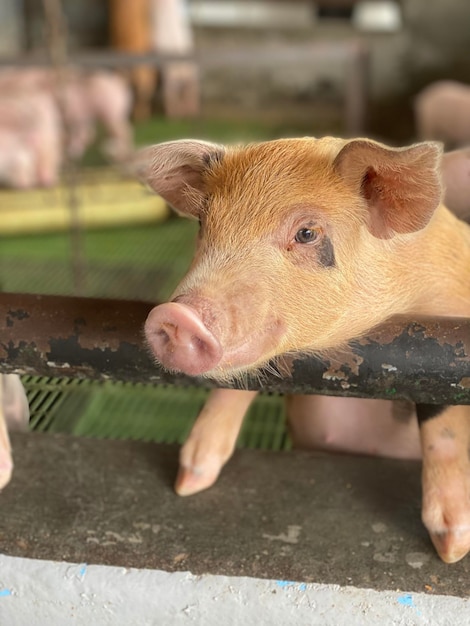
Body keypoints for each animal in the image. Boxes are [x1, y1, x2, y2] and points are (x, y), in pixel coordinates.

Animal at [135, 138, 470, 564]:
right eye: (203, 224)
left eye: (307, 233)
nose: (175, 316)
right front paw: (190, 481)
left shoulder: (448, 334)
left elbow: (440, 411)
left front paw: (452, 546)